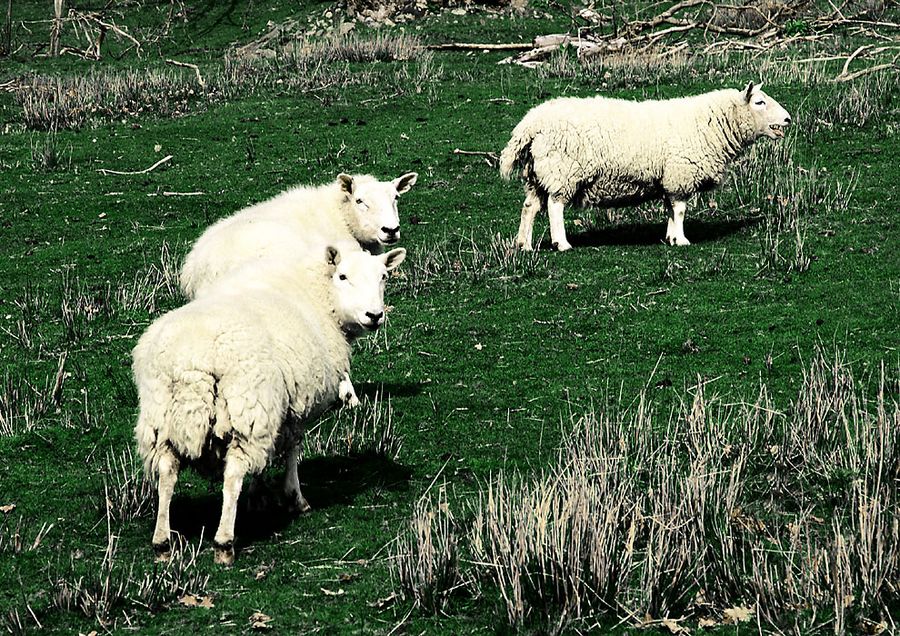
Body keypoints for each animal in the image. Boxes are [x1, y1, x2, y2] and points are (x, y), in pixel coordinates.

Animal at [134, 245, 408, 568]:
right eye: (342, 276)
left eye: (384, 276)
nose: (374, 315)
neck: (317, 292)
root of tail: (192, 361)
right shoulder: (295, 406)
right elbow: (291, 449)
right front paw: (294, 498)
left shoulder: (277, 409)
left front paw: (259, 495)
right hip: (248, 407)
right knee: (232, 474)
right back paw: (224, 542)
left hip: (160, 418)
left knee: (167, 471)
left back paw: (162, 542)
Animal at [502, 84, 792, 251]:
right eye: (759, 102)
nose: (788, 119)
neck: (712, 123)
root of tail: (531, 122)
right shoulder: (680, 174)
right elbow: (680, 210)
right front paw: (681, 240)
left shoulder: (669, 179)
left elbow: (671, 209)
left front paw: (670, 238)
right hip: (562, 170)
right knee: (555, 206)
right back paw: (561, 243)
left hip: (537, 173)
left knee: (530, 207)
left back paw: (524, 244)